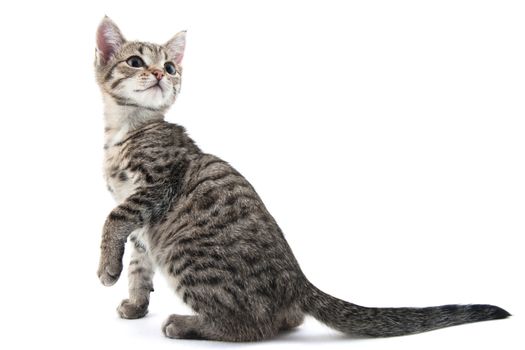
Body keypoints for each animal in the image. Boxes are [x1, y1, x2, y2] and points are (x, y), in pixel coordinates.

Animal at [93, 17, 508, 342]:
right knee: (286, 320)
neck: (126, 130)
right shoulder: (141, 222)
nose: (159, 74)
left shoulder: (156, 187)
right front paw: (135, 302)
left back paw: (186, 324)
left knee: (251, 327)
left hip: (185, 253)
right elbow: (139, 264)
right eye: (135, 62)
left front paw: (107, 269)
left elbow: (114, 220)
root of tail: (298, 280)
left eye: (170, 67)